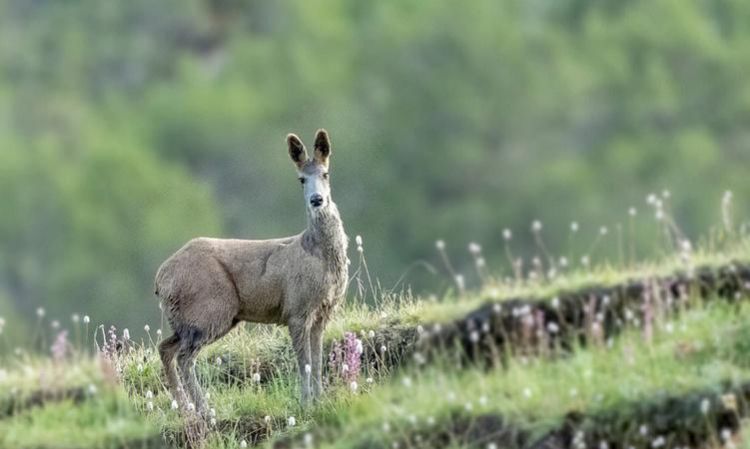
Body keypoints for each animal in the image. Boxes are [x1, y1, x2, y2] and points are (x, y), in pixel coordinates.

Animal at [158, 129, 350, 412]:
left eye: (325, 173)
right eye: (301, 179)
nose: (317, 200)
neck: (319, 255)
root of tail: (160, 281)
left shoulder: (323, 311)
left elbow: (316, 361)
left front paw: (319, 401)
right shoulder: (296, 309)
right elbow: (304, 362)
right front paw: (305, 404)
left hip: (190, 320)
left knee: (165, 348)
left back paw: (185, 408)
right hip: (210, 310)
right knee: (184, 356)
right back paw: (204, 409)